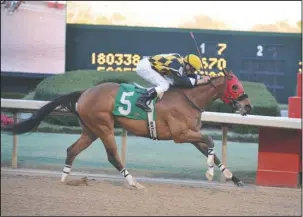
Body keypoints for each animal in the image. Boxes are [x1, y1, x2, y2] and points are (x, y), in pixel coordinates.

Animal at [2, 69, 254, 188]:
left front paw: (233, 178)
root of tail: (85, 92)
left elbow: (212, 150)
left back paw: (64, 179)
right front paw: (210, 173)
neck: (188, 97)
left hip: (90, 130)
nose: (248, 106)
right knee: (113, 156)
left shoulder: (191, 134)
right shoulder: (180, 134)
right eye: (235, 86)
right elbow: (210, 141)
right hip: (104, 127)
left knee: (71, 150)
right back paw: (133, 182)